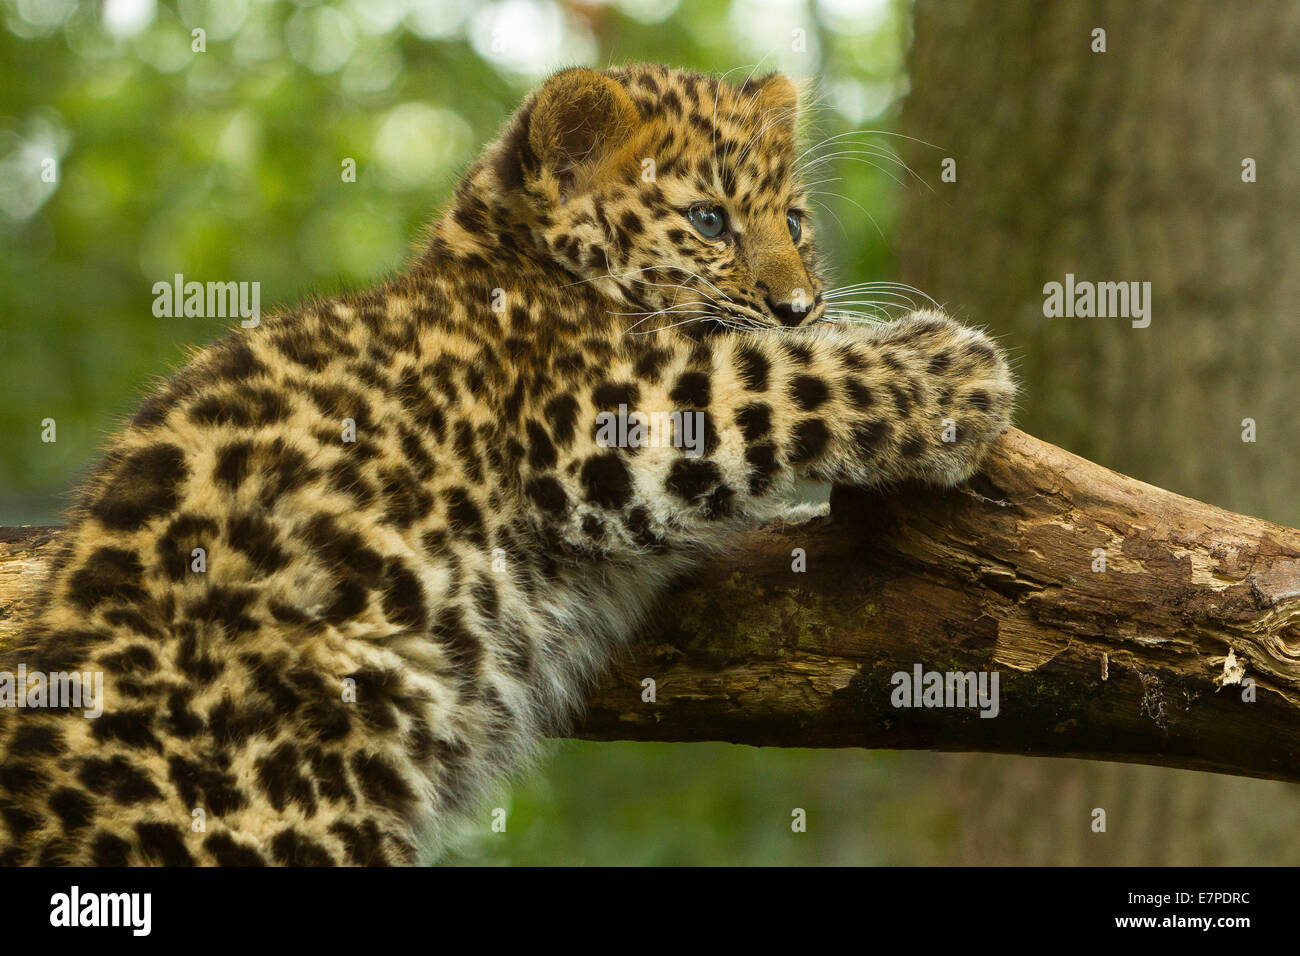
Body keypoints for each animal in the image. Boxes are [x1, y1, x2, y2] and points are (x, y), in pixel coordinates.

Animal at [0, 63, 1015, 865]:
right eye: (709, 219)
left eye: (796, 223)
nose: (802, 304)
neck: (513, 264)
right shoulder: (594, 415)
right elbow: (774, 376)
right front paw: (949, 371)